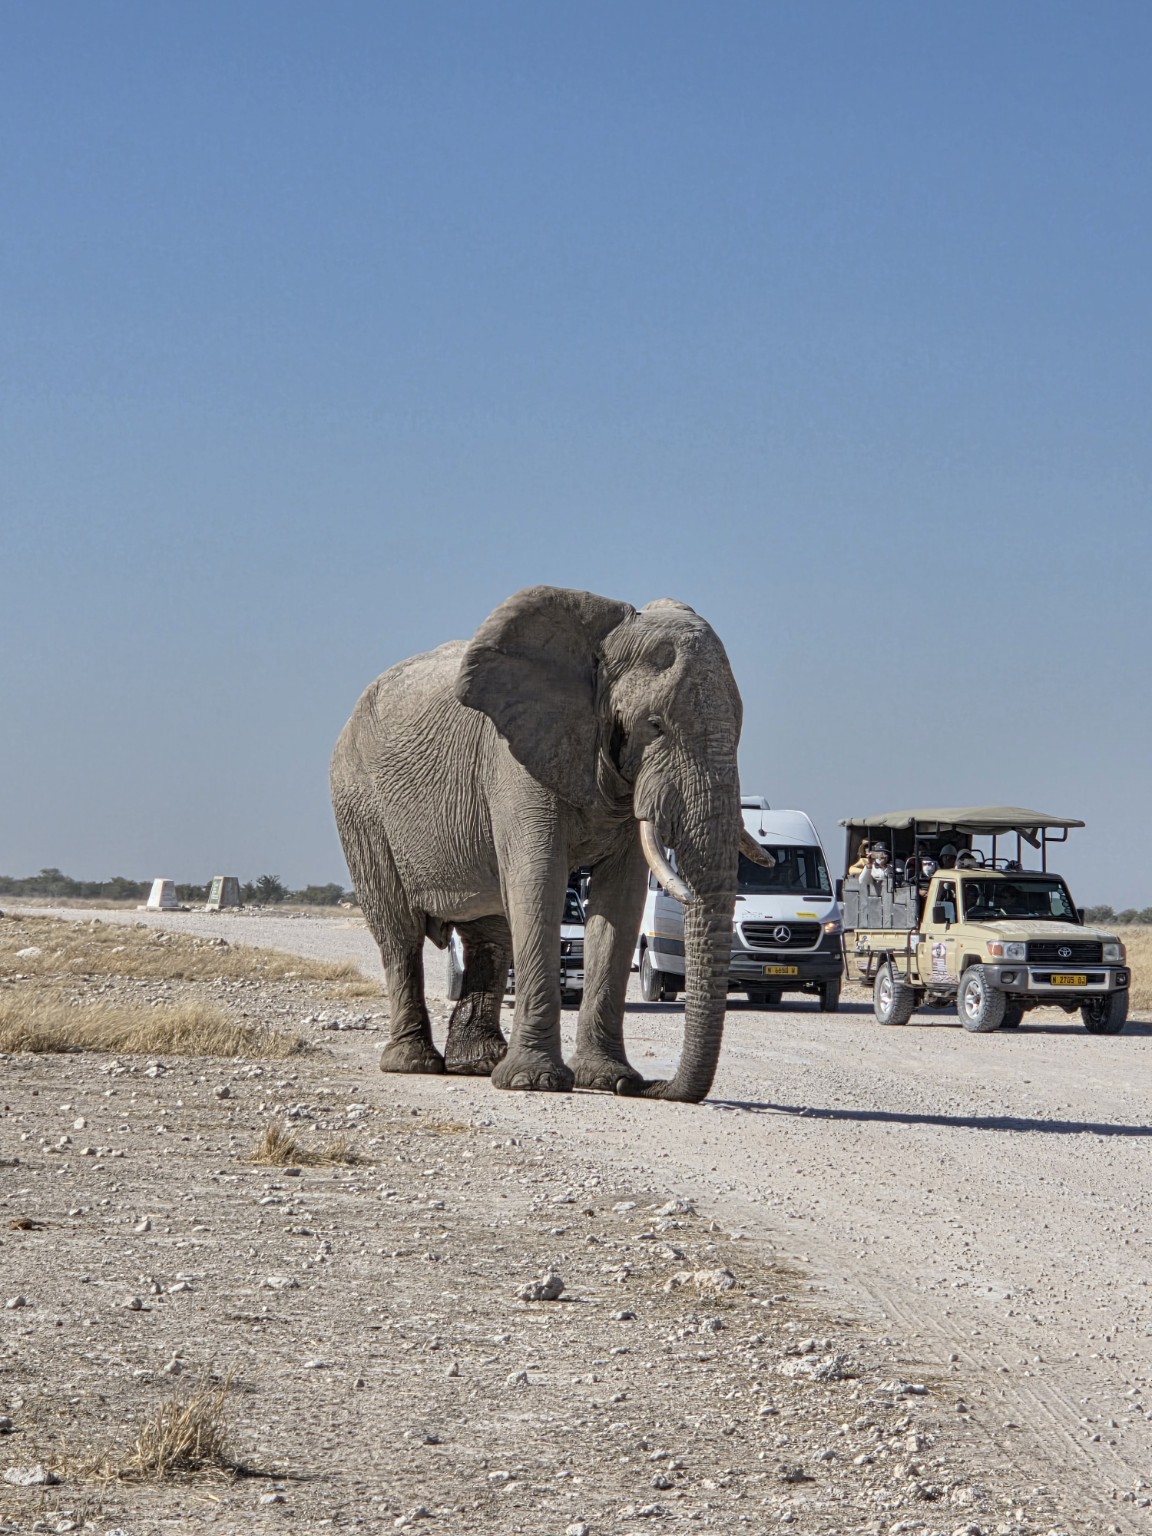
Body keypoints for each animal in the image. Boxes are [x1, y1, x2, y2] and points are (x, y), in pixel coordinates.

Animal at [330, 585, 764, 1103]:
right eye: (655, 724)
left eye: (740, 730)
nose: (654, 1086)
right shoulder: (514, 760)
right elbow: (538, 880)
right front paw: (535, 1083)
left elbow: (621, 900)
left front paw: (608, 1079)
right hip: (359, 805)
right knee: (399, 932)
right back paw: (414, 1064)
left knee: (490, 934)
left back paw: (478, 1063)